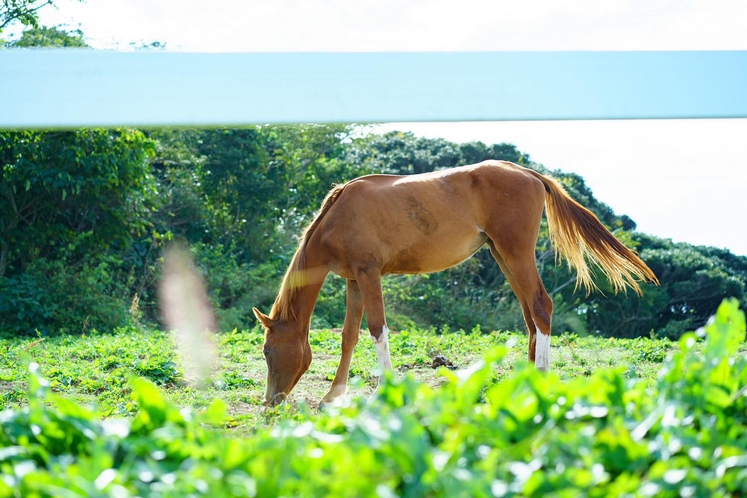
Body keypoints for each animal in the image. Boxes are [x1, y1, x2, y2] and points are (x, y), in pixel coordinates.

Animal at [254, 161, 656, 406]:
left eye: (268, 351)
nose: (270, 402)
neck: (338, 214)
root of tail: (527, 173)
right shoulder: (355, 279)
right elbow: (349, 336)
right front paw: (332, 397)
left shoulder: (369, 274)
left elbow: (377, 329)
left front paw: (386, 391)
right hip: (503, 255)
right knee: (530, 315)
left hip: (515, 253)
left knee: (542, 306)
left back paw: (540, 378)